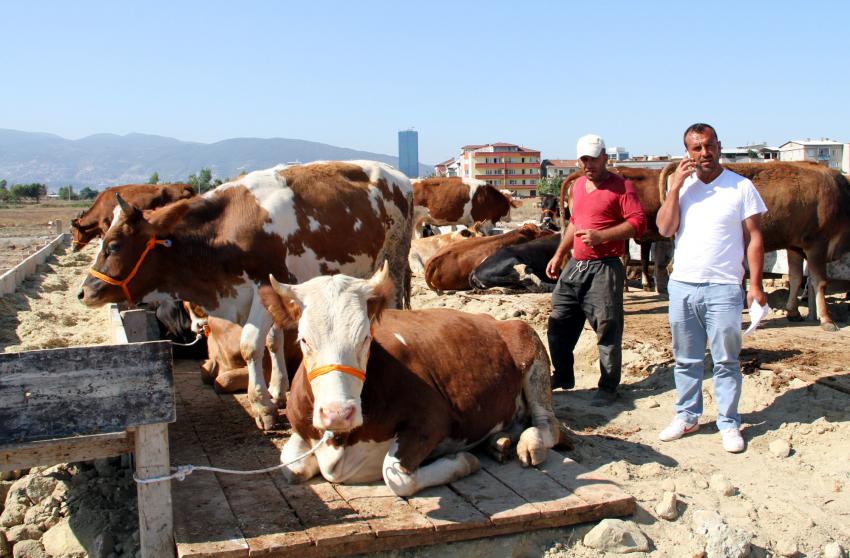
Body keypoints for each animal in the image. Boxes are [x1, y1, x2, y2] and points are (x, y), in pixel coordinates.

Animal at [78, 160, 412, 430]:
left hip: (394, 260)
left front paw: (262, 406)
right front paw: (277, 392)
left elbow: (251, 345)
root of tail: (397, 175)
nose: (84, 292)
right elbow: (272, 342)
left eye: (114, 246)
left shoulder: (263, 285)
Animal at [262, 266, 560, 498]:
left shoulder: (432, 419)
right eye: (303, 339)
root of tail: (490, 318)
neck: (340, 440)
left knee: (549, 425)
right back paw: (499, 442)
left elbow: (395, 477)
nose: (337, 414)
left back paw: (528, 443)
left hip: (531, 346)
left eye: (365, 337)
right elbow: (291, 467)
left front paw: (462, 461)